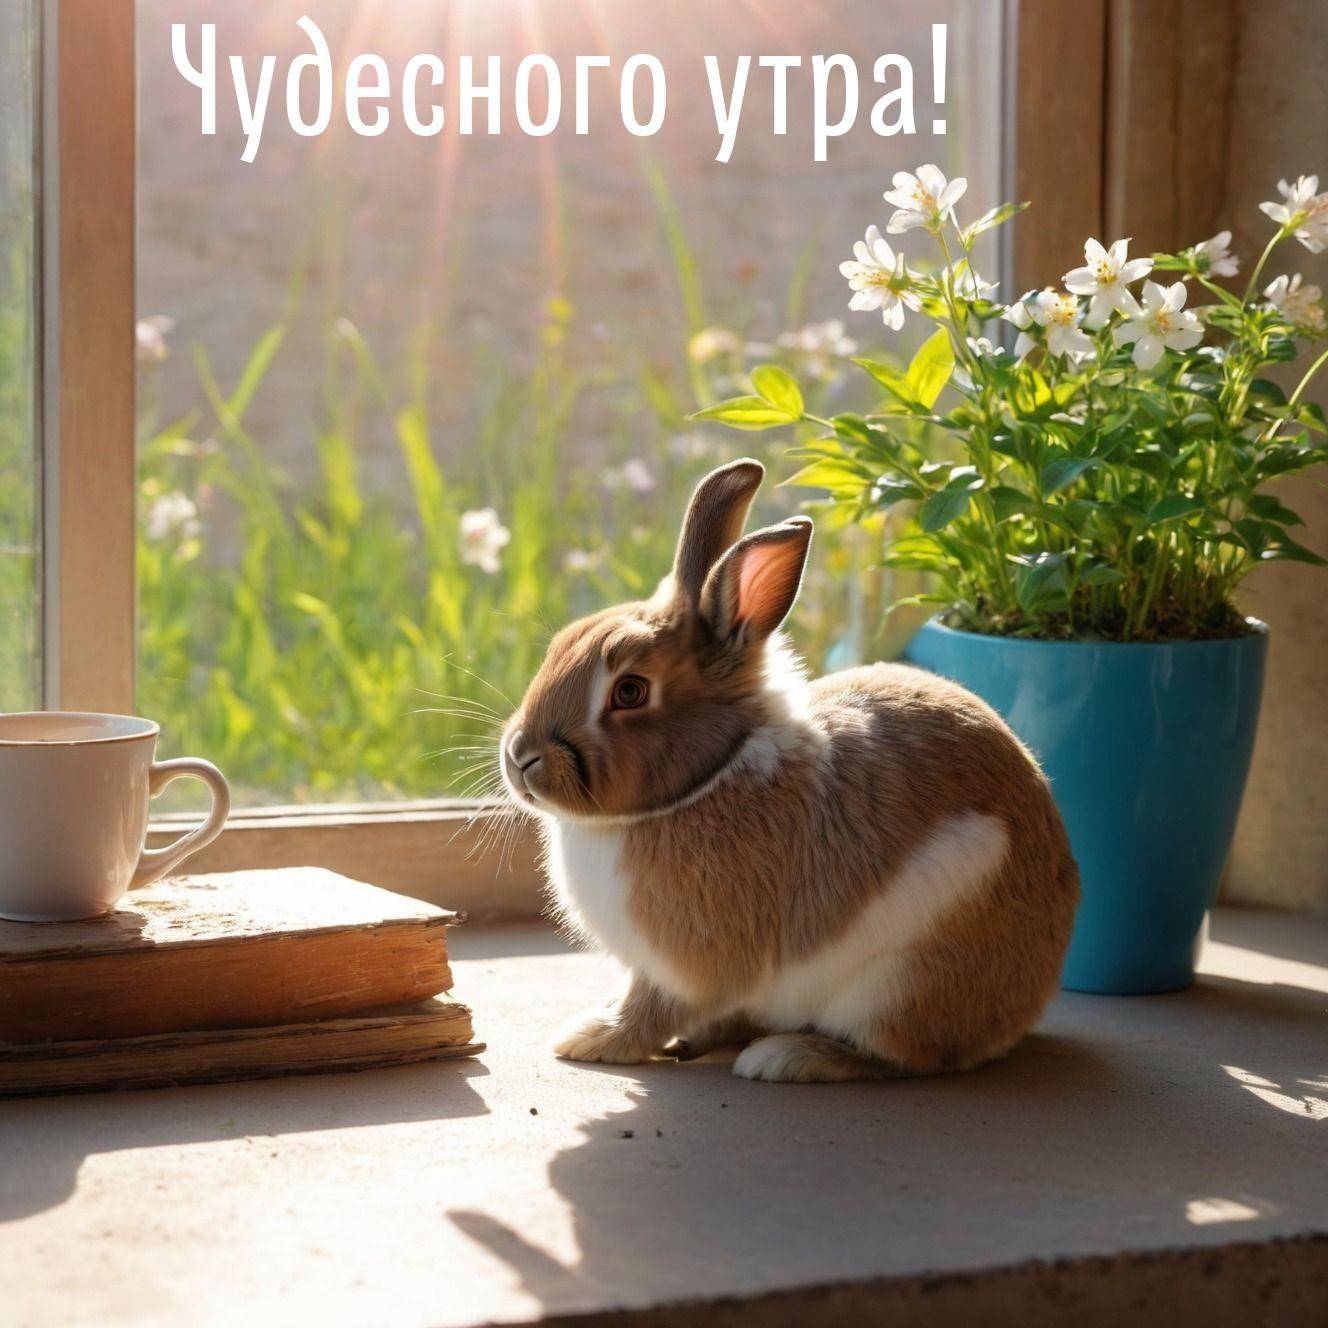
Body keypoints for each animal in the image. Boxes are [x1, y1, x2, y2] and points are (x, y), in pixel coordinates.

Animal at [500, 458, 1079, 1083]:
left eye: (629, 692)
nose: (520, 757)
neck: (710, 776)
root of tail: (1028, 1003)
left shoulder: (690, 966)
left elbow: (651, 1007)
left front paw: (590, 1037)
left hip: (904, 979)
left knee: (901, 1055)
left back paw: (787, 1057)